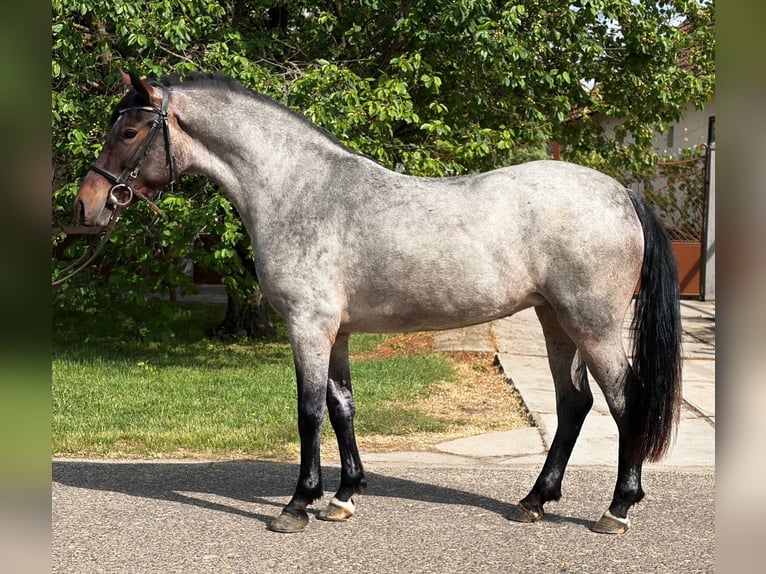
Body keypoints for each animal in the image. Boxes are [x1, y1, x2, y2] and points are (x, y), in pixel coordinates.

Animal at [74, 70, 681, 535]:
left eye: (130, 130)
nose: (87, 205)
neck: (298, 190)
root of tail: (621, 193)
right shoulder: (336, 331)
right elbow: (342, 407)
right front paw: (344, 497)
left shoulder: (308, 327)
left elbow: (308, 412)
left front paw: (298, 505)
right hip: (555, 320)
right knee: (574, 403)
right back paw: (533, 501)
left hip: (592, 326)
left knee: (624, 401)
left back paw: (617, 509)